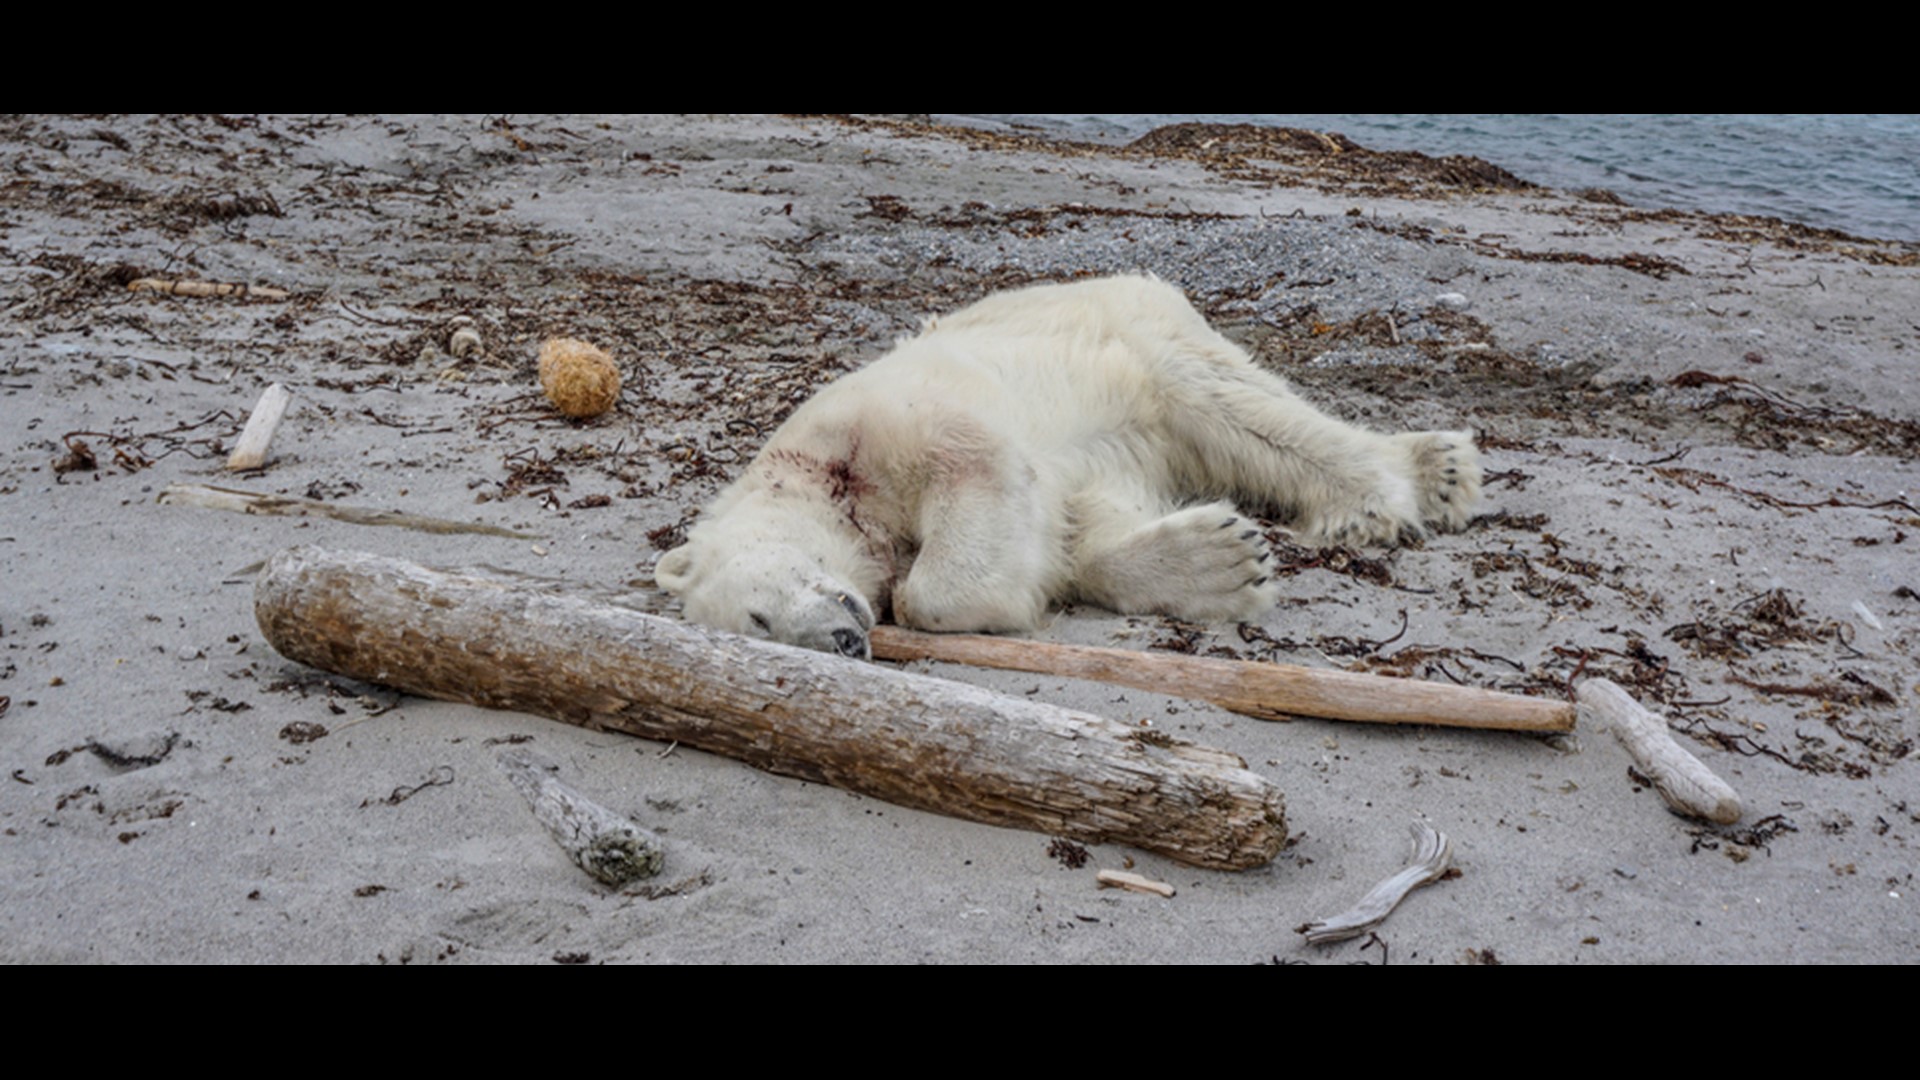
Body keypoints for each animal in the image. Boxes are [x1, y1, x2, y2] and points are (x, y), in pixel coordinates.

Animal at [652, 272, 1474, 657]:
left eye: (758, 616)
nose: (846, 640)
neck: (819, 481)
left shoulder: (875, 424)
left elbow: (972, 479)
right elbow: (1084, 527)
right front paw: (1219, 562)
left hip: (1136, 333)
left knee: (1230, 406)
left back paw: (1404, 484)